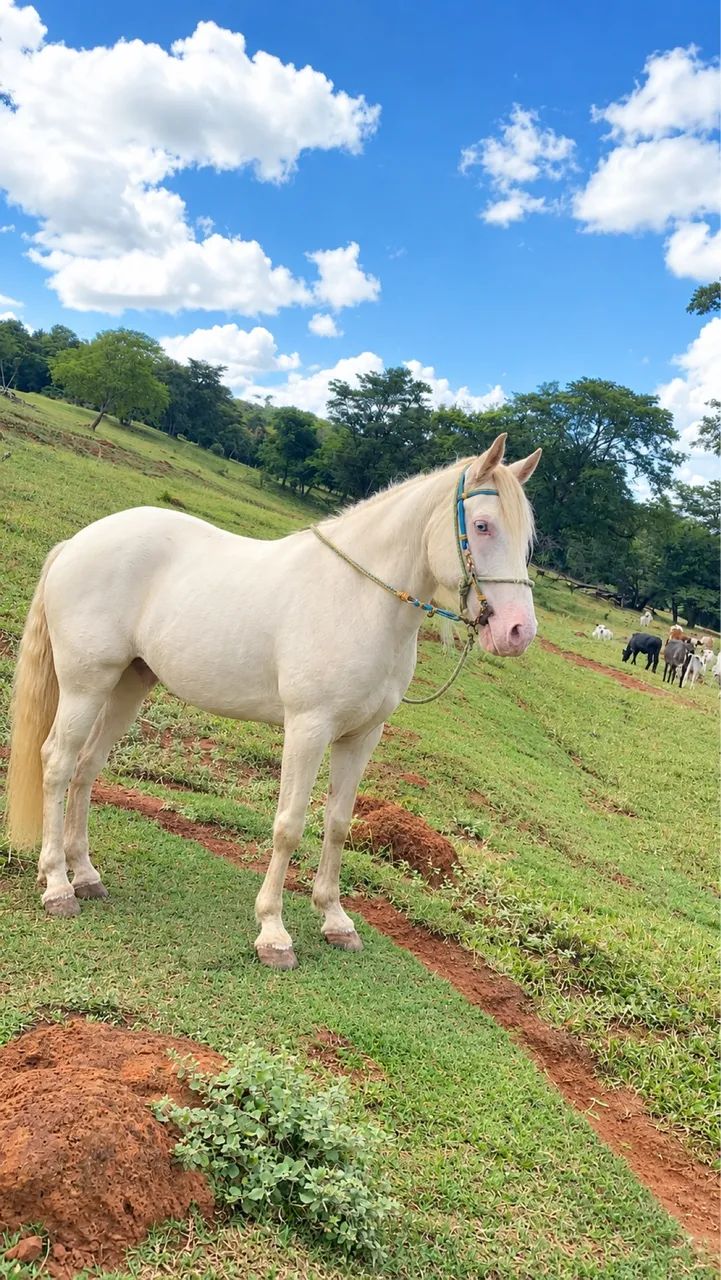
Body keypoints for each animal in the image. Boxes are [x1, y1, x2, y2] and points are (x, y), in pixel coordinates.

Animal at [6, 434, 541, 969]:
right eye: (482, 525)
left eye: (527, 540)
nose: (518, 632)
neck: (356, 598)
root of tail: (78, 543)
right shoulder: (308, 728)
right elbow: (289, 826)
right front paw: (273, 933)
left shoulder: (361, 737)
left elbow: (338, 824)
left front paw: (335, 919)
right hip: (85, 685)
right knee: (57, 763)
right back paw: (57, 885)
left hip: (127, 686)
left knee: (86, 768)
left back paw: (85, 875)